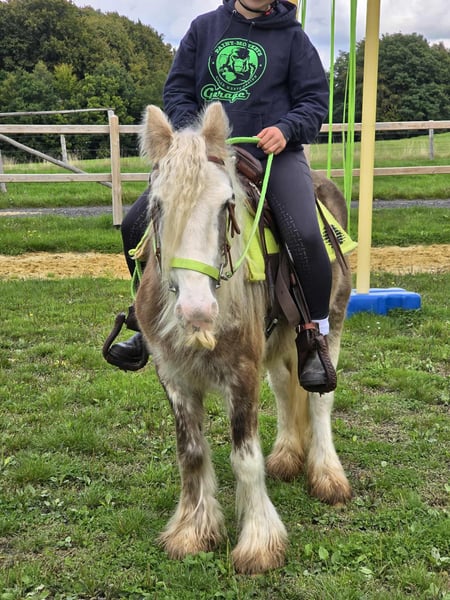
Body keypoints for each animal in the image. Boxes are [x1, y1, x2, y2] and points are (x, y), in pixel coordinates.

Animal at [135, 102, 353, 574]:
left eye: (226, 204)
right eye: (157, 205)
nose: (197, 312)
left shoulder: (242, 373)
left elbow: (245, 458)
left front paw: (258, 543)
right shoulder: (174, 377)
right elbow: (191, 452)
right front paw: (192, 530)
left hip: (331, 326)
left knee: (319, 400)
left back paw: (327, 475)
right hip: (281, 343)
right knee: (287, 390)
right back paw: (288, 456)